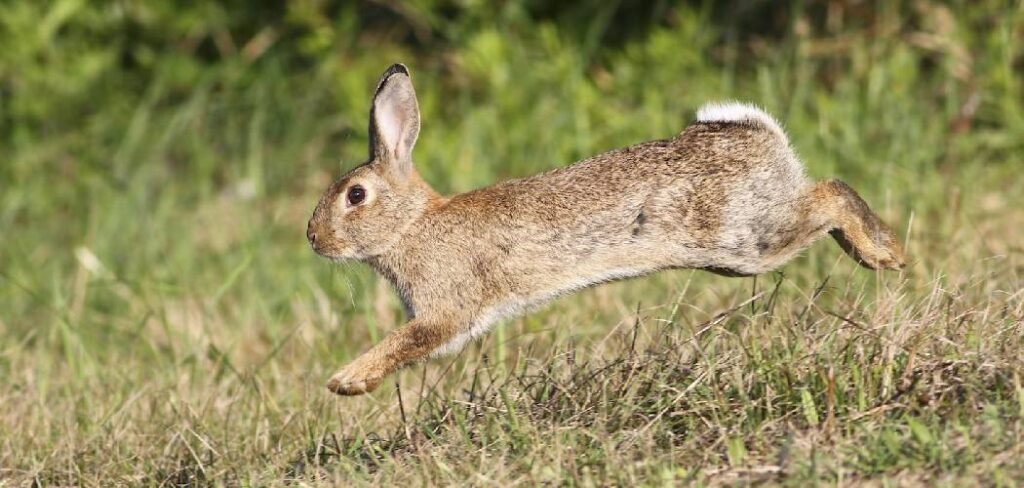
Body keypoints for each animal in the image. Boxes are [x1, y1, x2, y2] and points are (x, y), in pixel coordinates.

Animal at [306, 64, 906, 396]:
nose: (314, 240)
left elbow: (407, 341)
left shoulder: (445, 308)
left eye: (355, 196)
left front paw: (346, 381)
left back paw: (884, 254)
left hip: (744, 240)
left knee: (830, 194)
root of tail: (757, 135)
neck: (411, 224)